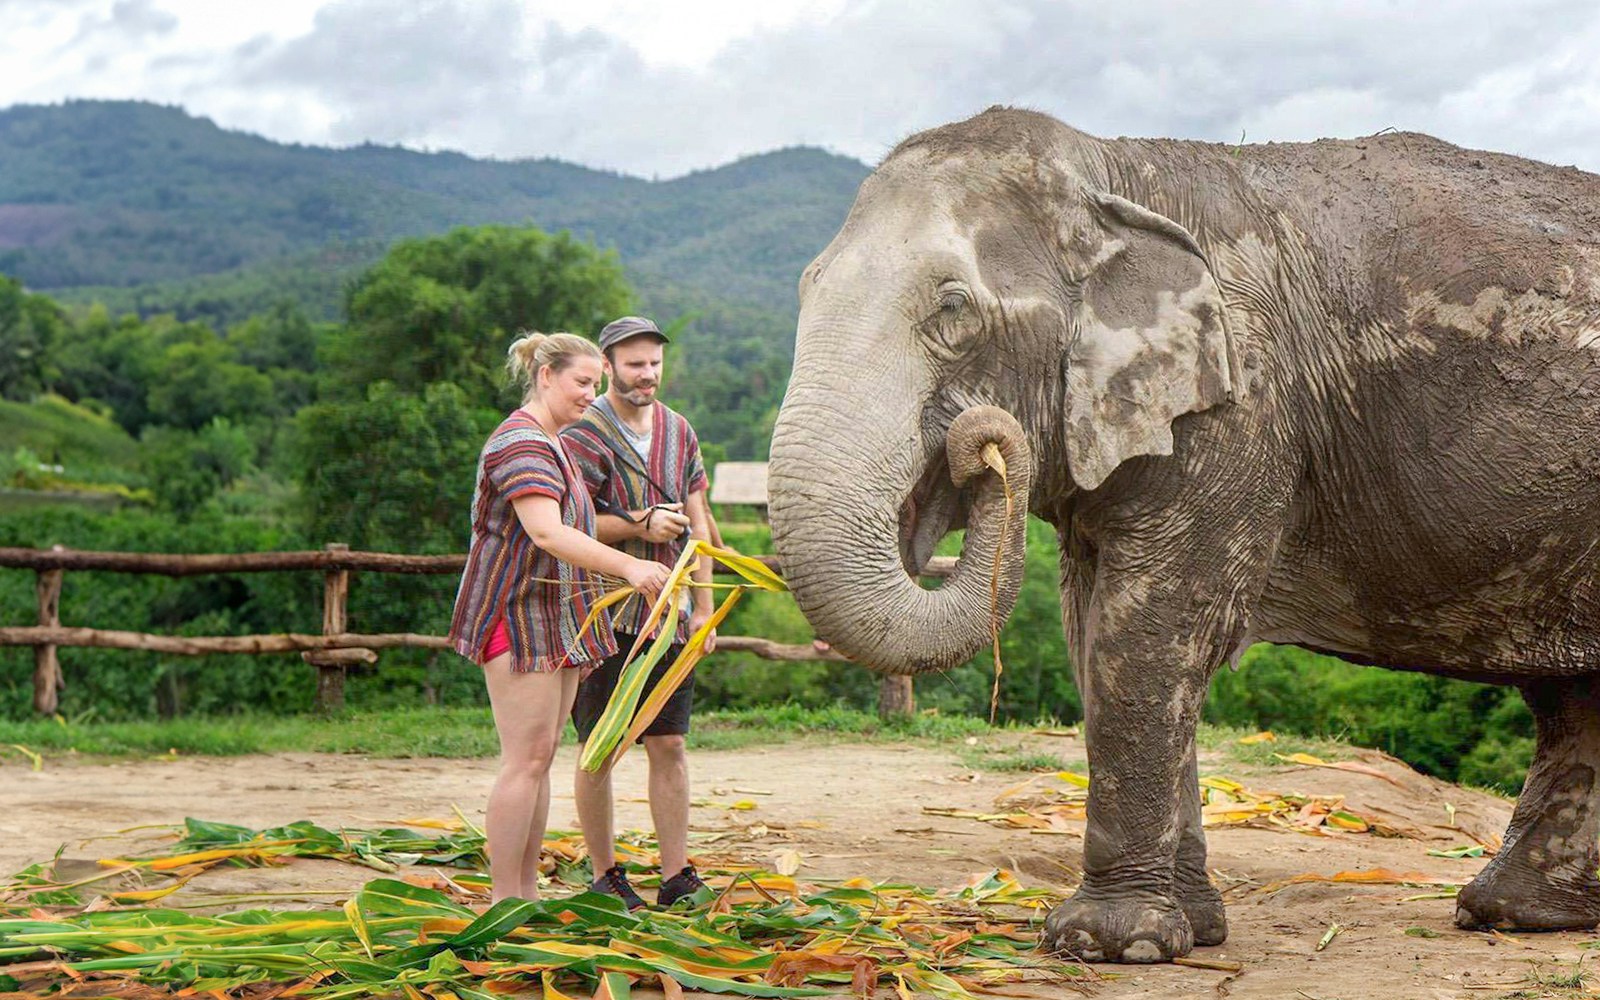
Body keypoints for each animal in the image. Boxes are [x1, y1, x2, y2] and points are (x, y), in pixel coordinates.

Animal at [768, 107, 1600, 960]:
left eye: (953, 310)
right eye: (806, 285)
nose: (981, 445)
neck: (1114, 169)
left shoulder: (1241, 403)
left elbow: (1148, 630)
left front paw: (1106, 943)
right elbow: (1092, 631)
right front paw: (1191, 932)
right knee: (1571, 700)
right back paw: (1514, 912)